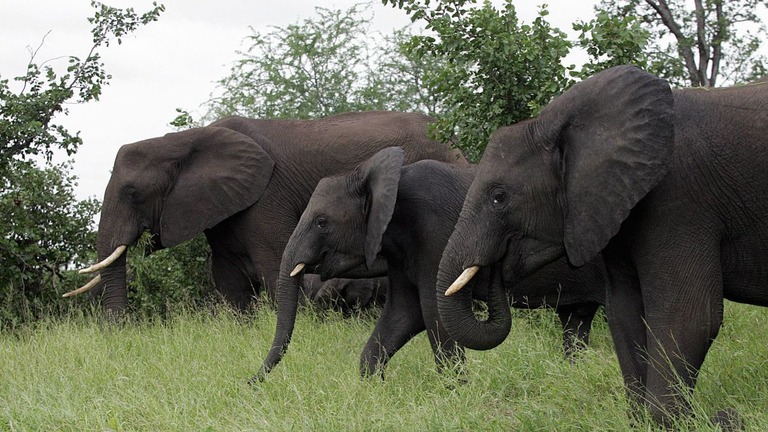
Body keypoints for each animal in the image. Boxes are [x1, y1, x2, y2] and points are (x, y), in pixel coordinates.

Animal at [72, 111, 464, 314]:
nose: (119, 332)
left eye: (132, 193)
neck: (186, 140)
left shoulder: (266, 198)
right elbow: (228, 281)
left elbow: (275, 267)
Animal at [258, 148, 608, 382]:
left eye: (321, 223)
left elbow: (433, 312)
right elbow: (403, 313)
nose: (252, 383)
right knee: (576, 322)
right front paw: (374, 385)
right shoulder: (402, 251)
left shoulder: (435, 233)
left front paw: (459, 393)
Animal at [436, 65, 768, 428]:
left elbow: (689, 317)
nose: (494, 267)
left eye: (499, 198)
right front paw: (641, 422)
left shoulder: (680, 200)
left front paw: (675, 423)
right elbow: (624, 313)